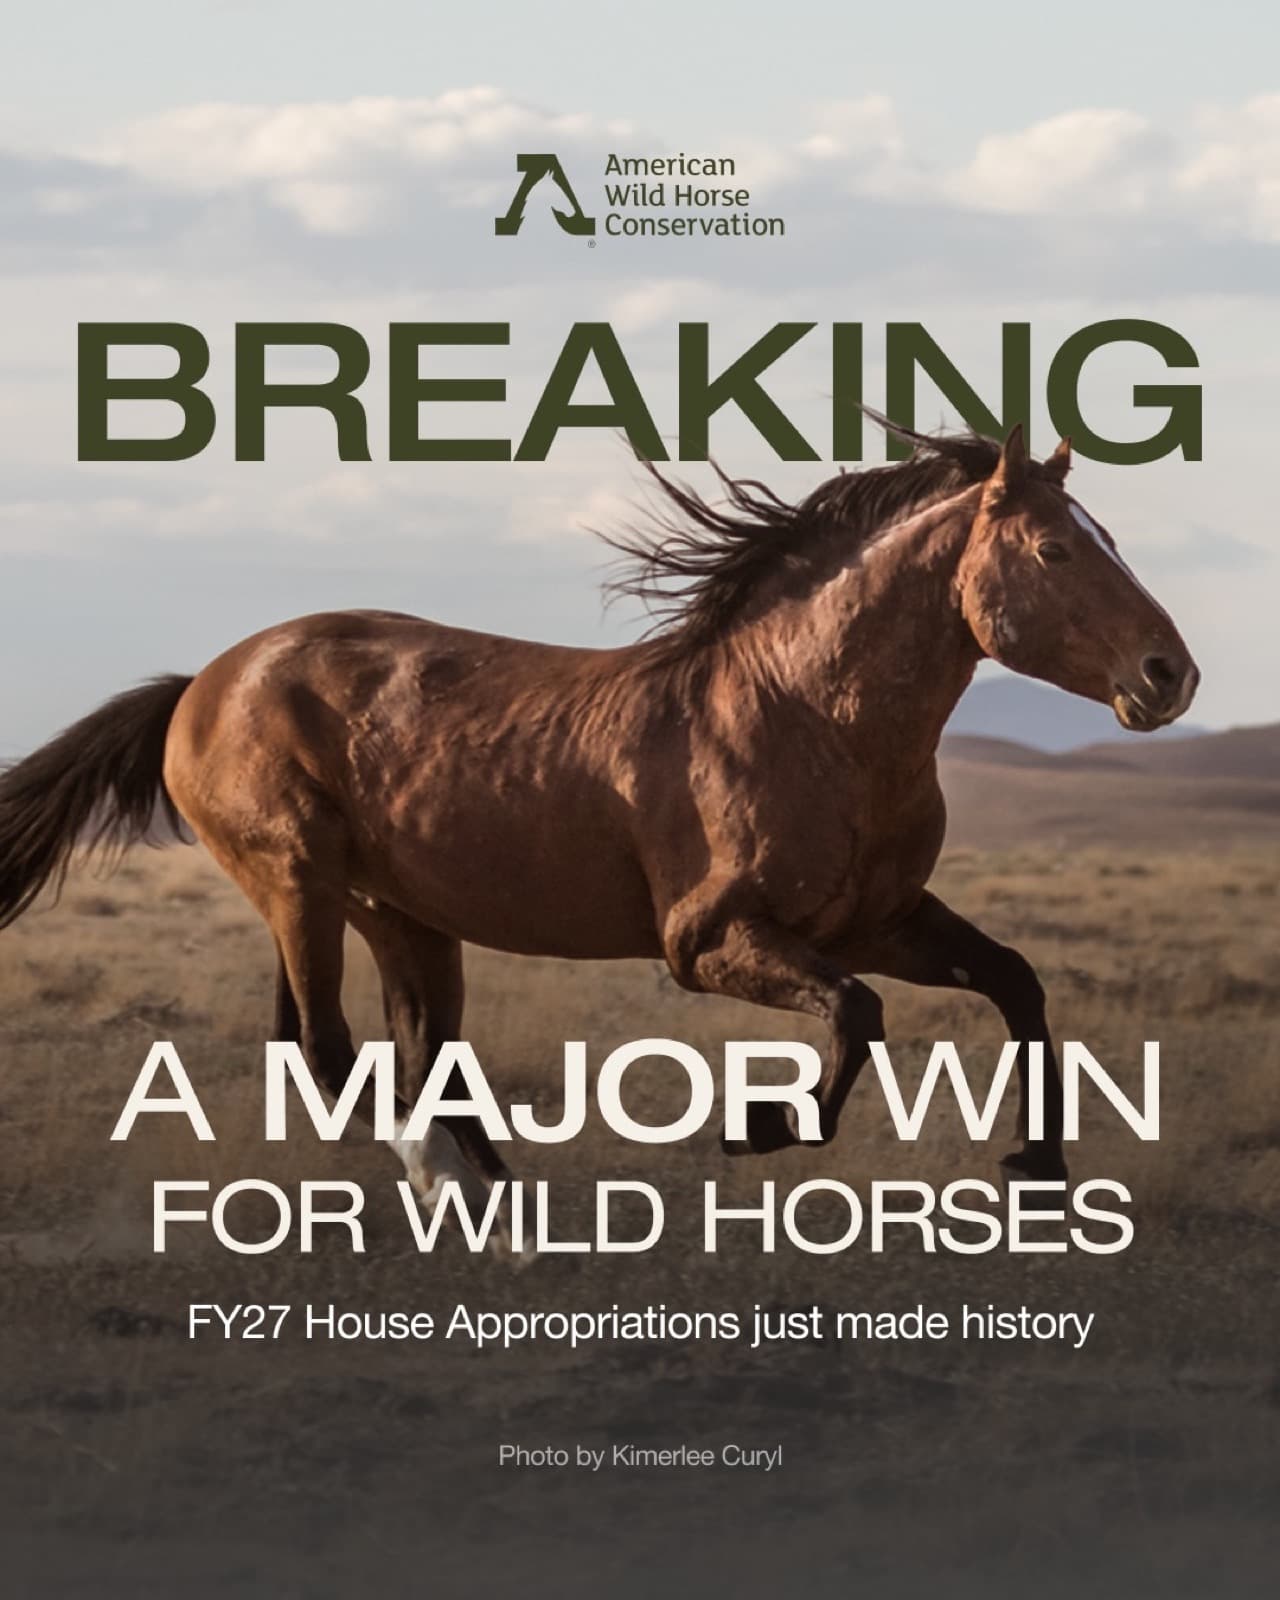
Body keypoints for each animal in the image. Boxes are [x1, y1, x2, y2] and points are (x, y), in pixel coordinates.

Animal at [0, 417, 1199, 1238]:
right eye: (1054, 551)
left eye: (1104, 537)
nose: (1168, 674)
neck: (806, 713)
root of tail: (202, 682)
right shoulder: (706, 941)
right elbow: (857, 1016)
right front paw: (760, 1125)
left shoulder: (877, 919)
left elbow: (1014, 981)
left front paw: (1036, 1169)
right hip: (298, 884)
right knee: (332, 1050)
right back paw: (465, 1196)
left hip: (404, 916)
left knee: (416, 1051)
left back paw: (502, 1210)